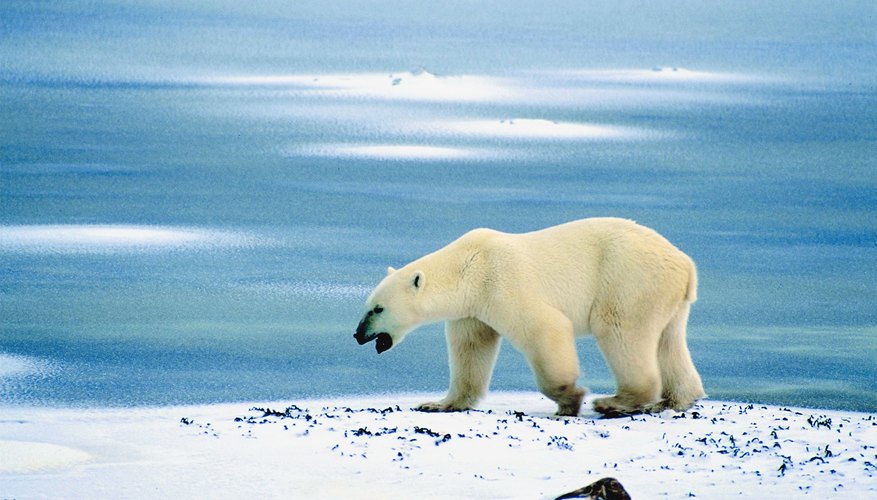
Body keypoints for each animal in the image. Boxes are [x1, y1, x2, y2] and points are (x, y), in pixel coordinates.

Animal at [352, 217, 700, 416]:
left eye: (378, 308)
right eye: (366, 305)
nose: (358, 335)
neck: (468, 265)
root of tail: (686, 264)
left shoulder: (501, 283)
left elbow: (545, 328)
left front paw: (569, 399)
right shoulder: (472, 310)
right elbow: (471, 349)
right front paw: (439, 403)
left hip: (628, 279)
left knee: (619, 330)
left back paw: (615, 401)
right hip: (666, 297)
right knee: (668, 341)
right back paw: (674, 400)